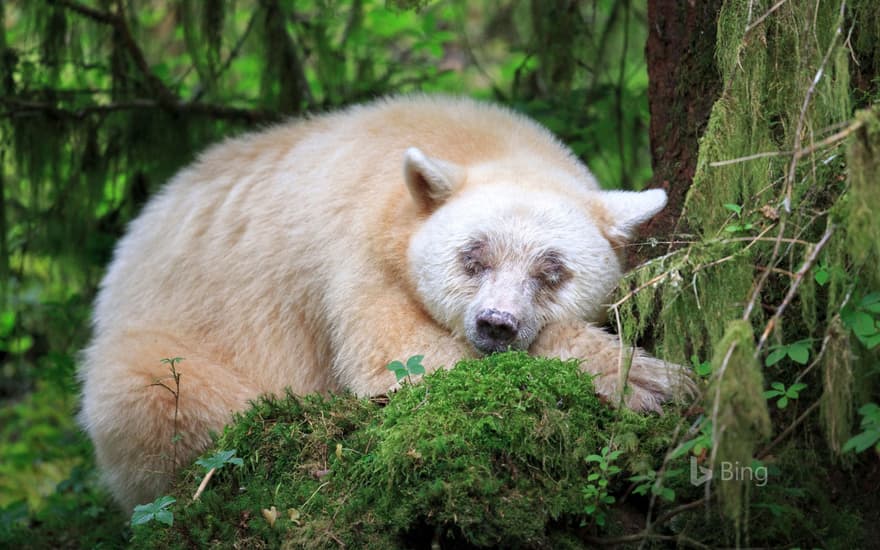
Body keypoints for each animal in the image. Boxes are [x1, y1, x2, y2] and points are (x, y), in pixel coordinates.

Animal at [77, 95, 696, 512]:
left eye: (552, 270)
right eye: (473, 257)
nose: (496, 324)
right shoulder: (357, 252)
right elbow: (402, 361)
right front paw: (644, 381)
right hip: (167, 338)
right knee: (152, 393)